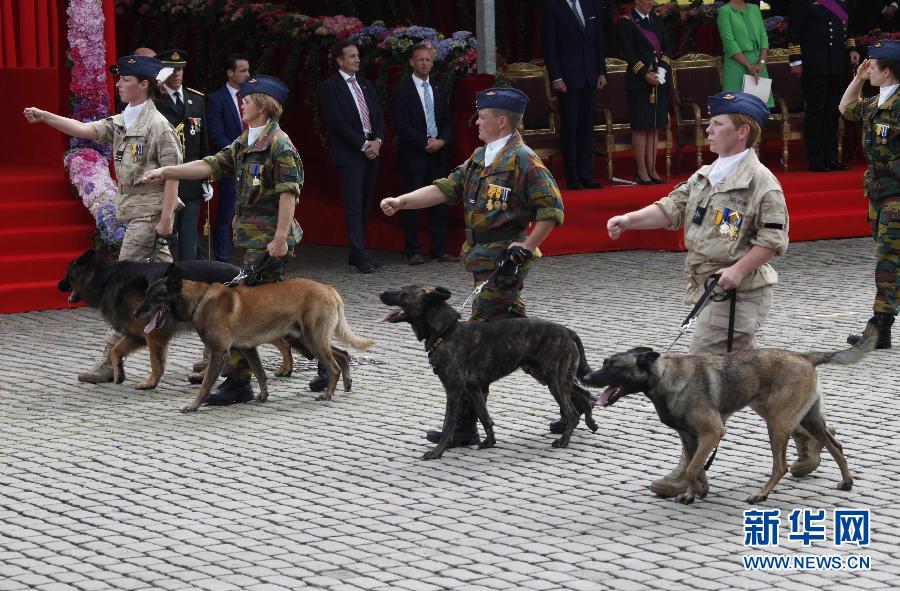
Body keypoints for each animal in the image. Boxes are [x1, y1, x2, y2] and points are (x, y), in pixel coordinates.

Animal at [136, 264, 372, 412]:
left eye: (154, 297)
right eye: (145, 294)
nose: (136, 314)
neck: (200, 301)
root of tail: (329, 289)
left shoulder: (219, 354)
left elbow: (205, 385)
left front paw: (193, 406)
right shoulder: (248, 349)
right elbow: (260, 373)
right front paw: (263, 396)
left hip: (312, 340)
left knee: (334, 367)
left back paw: (328, 393)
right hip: (310, 339)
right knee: (344, 354)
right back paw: (347, 384)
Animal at [378, 284, 596, 460]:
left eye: (403, 292)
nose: (380, 292)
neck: (446, 332)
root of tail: (567, 331)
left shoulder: (454, 391)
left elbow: (448, 423)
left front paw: (438, 452)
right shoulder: (473, 389)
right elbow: (485, 417)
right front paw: (489, 442)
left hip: (554, 380)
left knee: (573, 412)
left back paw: (564, 441)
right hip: (549, 376)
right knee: (585, 395)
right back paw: (591, 422)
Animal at [576, 322, 880, 506]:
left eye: (613, 366)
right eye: (604, 363)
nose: (587, 377)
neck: (665, 378)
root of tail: (805, 356)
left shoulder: (712, 433)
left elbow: (693, 468)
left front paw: (697, 490)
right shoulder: (690, 437)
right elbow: (693, 467)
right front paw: (693, 491)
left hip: (777, 424)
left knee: (781, 466)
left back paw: (761, 494)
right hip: (807, 418)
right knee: (835, 444)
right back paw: (846, 480)